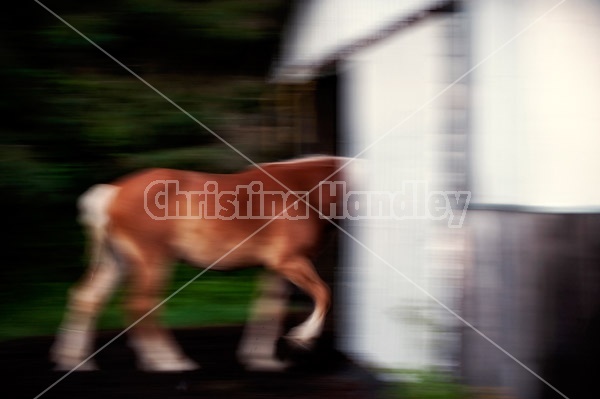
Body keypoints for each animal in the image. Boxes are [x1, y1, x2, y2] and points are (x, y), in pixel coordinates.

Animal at [51, 155, 354, 372]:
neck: (304, 189)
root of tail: (112, 191)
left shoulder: (275, 269)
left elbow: (268, 310)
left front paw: (262, 360)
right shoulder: (290, 262)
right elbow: (324, 294)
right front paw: (302, 338)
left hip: (117, 263)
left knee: (87, 298)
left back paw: (75, 361)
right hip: (154, 262)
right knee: (141, 305)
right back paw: (167, 361)